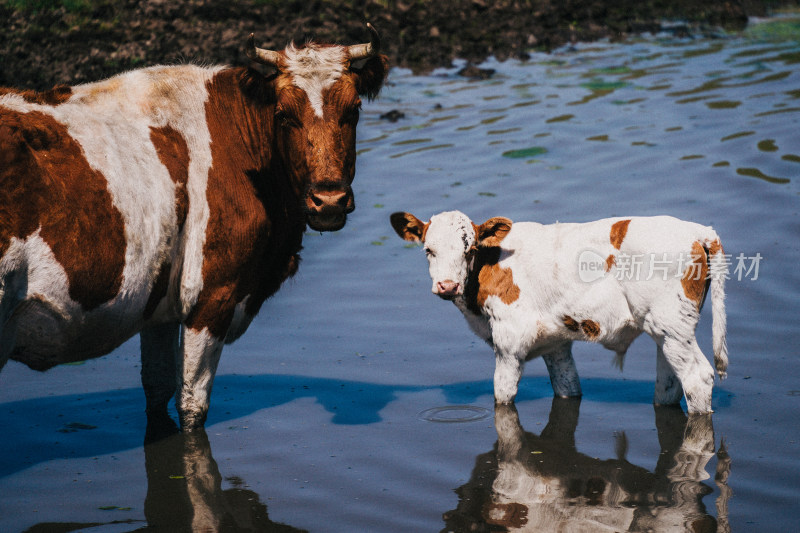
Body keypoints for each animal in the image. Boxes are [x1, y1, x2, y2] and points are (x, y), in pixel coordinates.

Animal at [0, 26, 388, 432]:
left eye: (354, 110)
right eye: (284, 115)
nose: (328, 200)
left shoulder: (158, 306)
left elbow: (157, 390)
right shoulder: (212, 295)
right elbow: (191, 407)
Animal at [390, 210, 728, 414]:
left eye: (469, 249)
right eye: (428, 250)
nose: (447, 285)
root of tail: (697, 230)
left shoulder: (509, 344)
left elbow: (502, 398)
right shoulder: (556, 344)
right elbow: (568, 388)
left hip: (671, 327)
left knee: (697, 378)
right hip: (667, 332)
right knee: (669, 383)